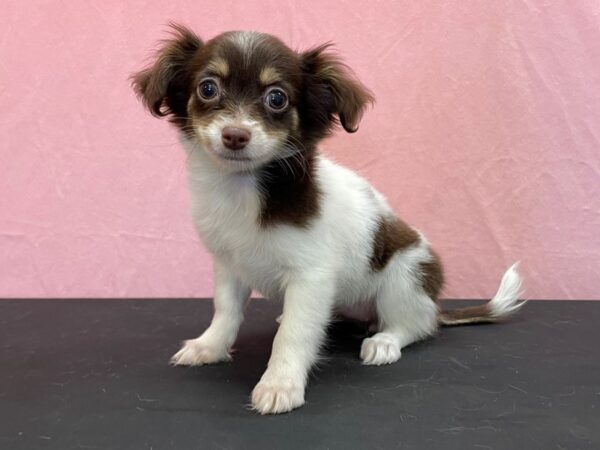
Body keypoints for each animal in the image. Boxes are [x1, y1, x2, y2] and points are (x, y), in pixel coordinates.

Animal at [132, 24, 524, 414]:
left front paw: (280, 383)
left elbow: (293, 333)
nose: (235, 136)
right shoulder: (229, 264)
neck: (243, 188)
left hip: (404, 278)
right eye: (208, 88)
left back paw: (385, 341)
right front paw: (209, 347)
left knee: (416, 325)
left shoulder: (311, 275)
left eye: (277, 98)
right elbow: (226, 310)